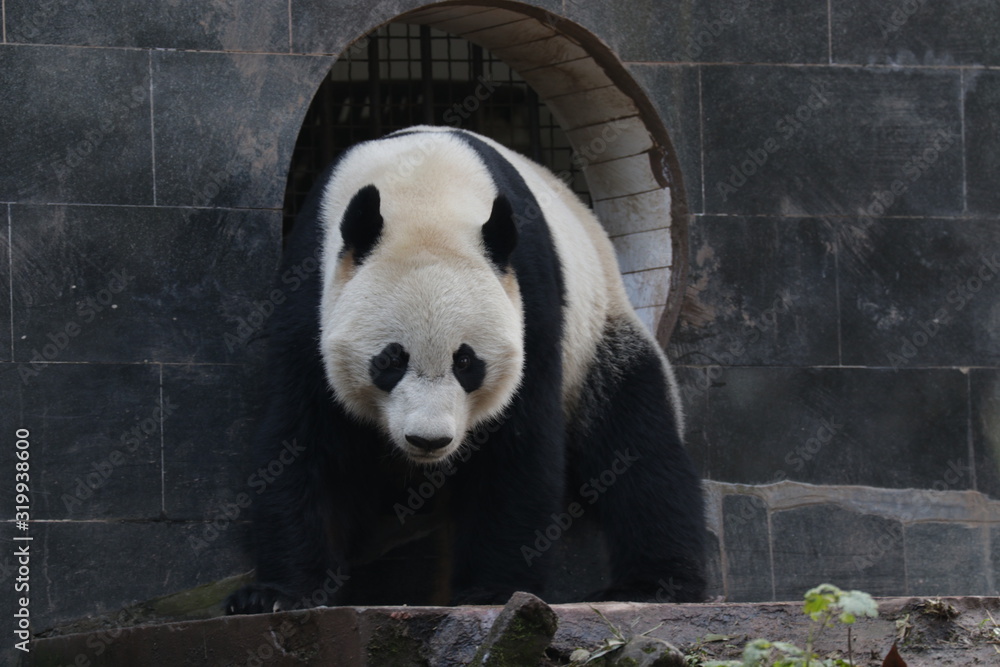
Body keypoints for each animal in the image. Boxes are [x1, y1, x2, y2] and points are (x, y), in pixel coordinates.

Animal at [226, 126, 706, 614]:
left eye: (466, 362)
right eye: (390, 360)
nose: (428, 440)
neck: (424, 193)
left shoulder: (530, 297)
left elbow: (517, 445)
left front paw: (492, 590)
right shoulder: (311, 291)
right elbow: (301, 437)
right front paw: (276, 595)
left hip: (596, 331)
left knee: (637, 443)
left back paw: (653, 585)